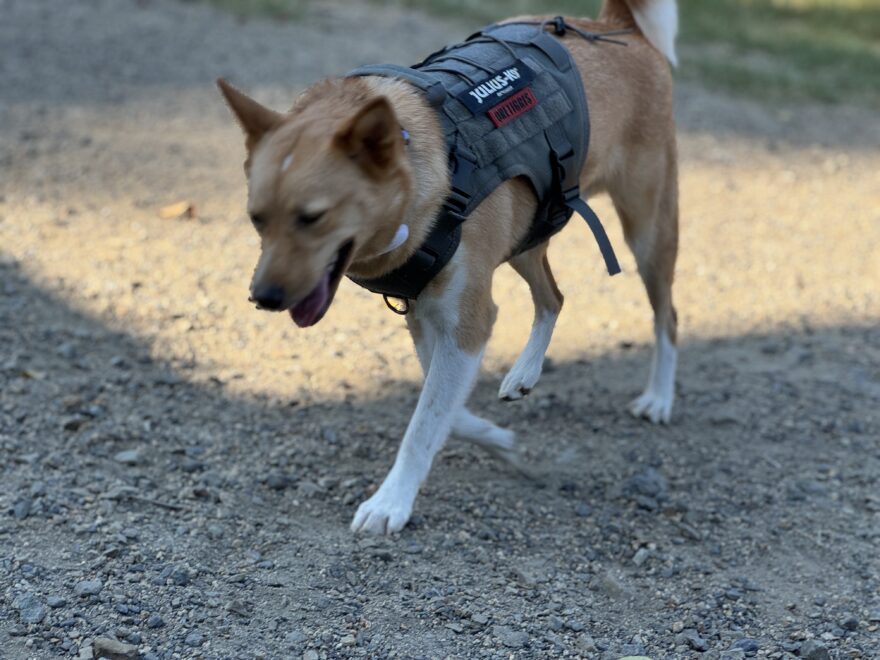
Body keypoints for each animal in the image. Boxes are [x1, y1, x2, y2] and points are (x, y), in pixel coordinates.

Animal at [218, 0, 679, 535]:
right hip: (528, 234)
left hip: (647, 230)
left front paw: (390, 503)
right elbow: (441, 408)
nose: (263, 298)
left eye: (313, 217)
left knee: (667, 316)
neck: (427, 171)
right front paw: (501, 441)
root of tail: (612, 26)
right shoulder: (425, 316)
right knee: (553, 297)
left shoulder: (468, 323)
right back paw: (523, 373)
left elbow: (424, 422)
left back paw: (659, 399)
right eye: (257, 218)